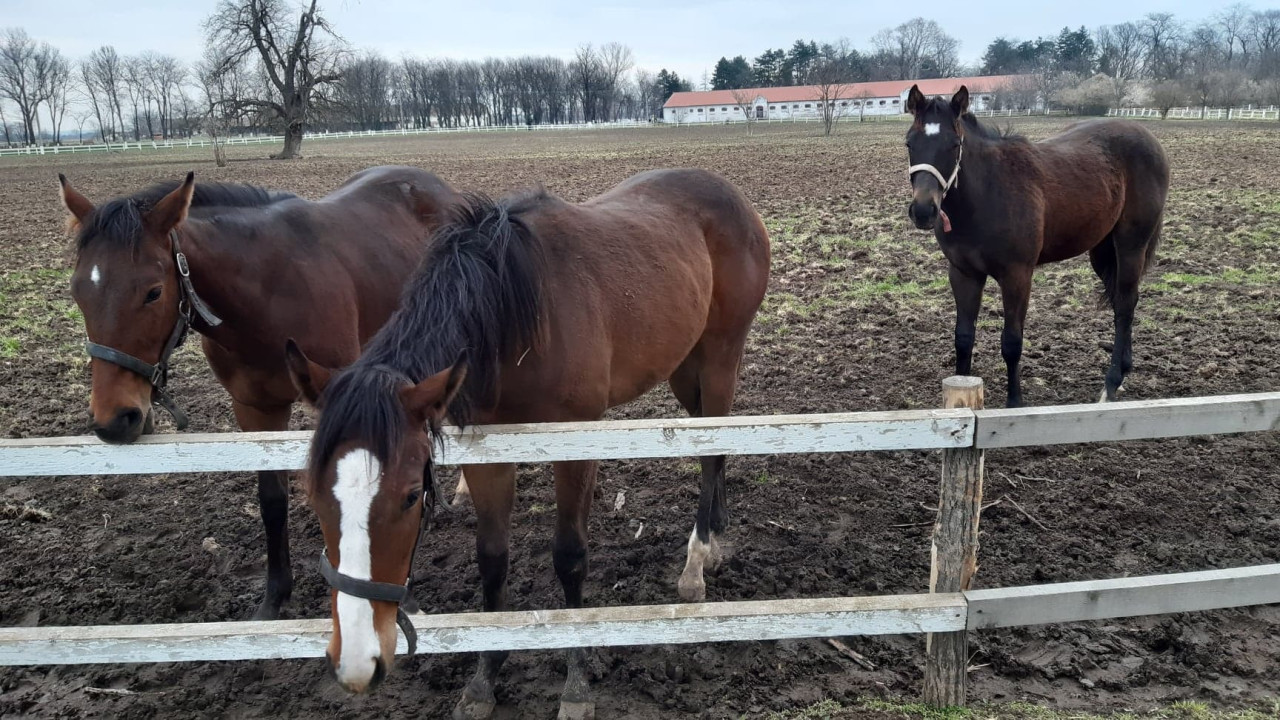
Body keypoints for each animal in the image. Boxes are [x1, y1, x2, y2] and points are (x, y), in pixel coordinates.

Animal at [58, 163, 465, 617]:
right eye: (78, 292)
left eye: (153, 292)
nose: (114, 418)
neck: (265, 290)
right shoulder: (254, 409)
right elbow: (272, 501)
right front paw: (275, 597)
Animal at [285, 166, 768, 712]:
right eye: (313, 495)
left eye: (410, 497)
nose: (356, 662)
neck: (510, 318)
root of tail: (731, 195)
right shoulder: (487, 453)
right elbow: (492, 559)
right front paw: (485, 677)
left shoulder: (576, 444)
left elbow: (570, 556)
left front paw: (576, 682)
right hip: (686, 369)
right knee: (715, 443)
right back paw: (718, 527)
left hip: (720, 356)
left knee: (711, 449)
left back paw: (697, 561)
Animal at [906, 85, 1167, 404]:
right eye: (909, 143)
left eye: (954, 144)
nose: (923, 211)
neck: (987, 194)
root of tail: (1146, 135)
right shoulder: (964, 274)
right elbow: (963, 337)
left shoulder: (1017, 275)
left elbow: (1012, 342)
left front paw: (1014, 403)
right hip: (1102, 249)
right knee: (1120, 300)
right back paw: (1123, 370)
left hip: (1131, 244)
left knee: (1126, 304)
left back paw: (1112, 382)